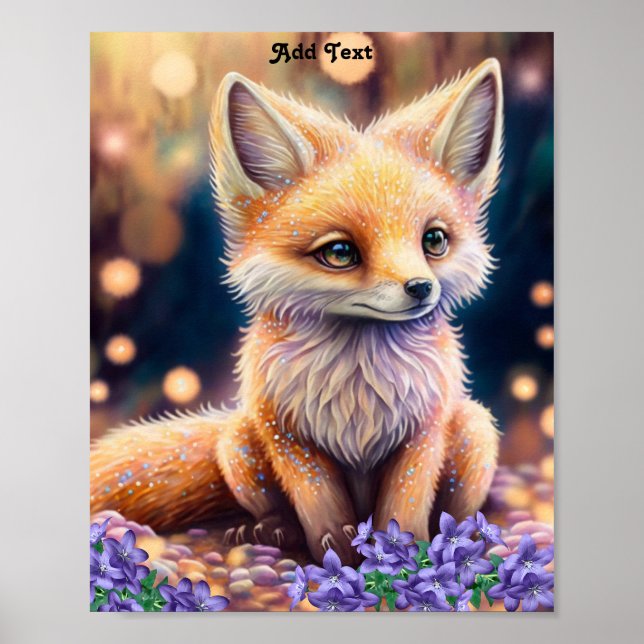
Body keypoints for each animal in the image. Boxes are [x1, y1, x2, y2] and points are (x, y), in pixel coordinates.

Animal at [91, 58, 503, 564]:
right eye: (340, 252)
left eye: (435, 240)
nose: (421, 287)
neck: (359, 384)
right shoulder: (286, 431)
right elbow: (317, 499)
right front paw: (339, 548)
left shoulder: (424, 430)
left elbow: (404, 502)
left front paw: (404, 549)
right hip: (239, 441)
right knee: (272, 506)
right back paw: (270, 530)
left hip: (475, 429)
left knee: (459, 508)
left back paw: (465, 536)